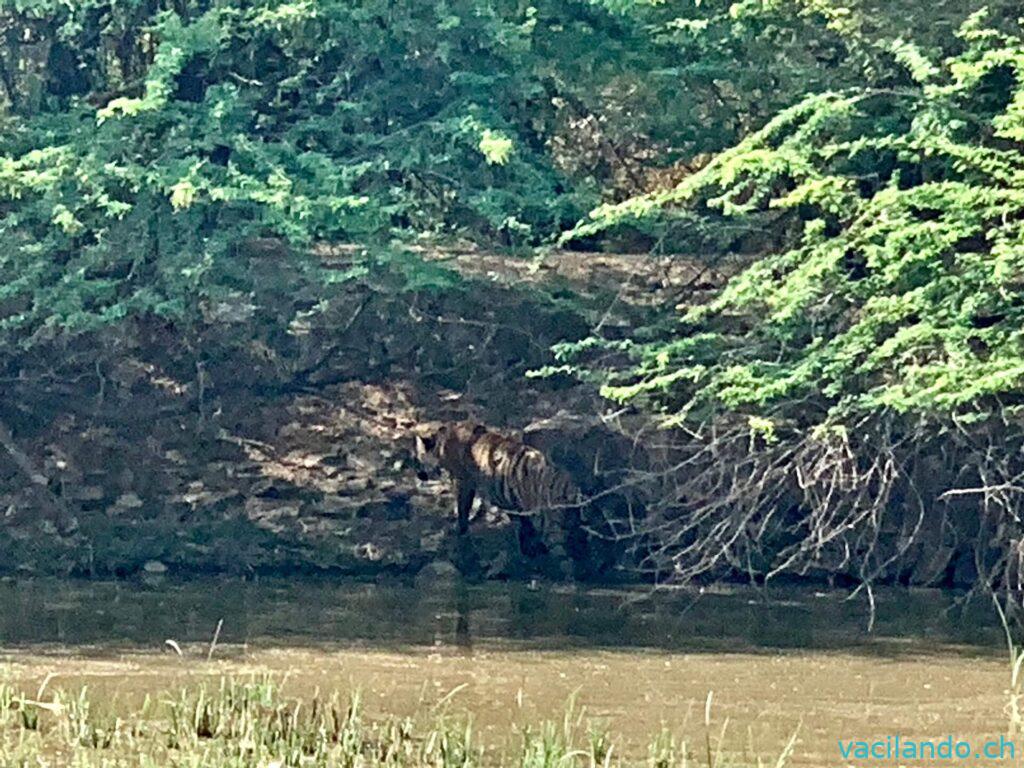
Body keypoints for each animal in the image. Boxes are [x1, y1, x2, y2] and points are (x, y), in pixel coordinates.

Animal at [409, 421, 585, 573]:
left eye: (417, 458)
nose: (418, 474)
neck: (442, 442)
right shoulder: (509, 500)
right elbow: (522, 524)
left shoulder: (463, 482)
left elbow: (463, 509)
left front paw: (460, 530)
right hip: (568, 516)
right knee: (575, 539)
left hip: (548, 516)